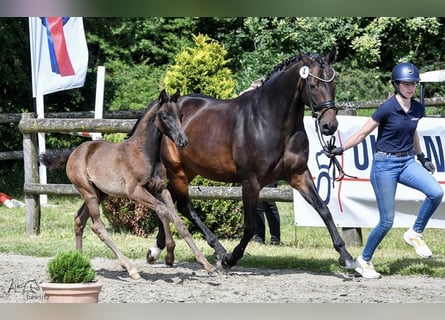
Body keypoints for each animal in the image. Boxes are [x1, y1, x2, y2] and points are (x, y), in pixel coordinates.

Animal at [40, 89, 217, 278]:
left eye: (181, 115)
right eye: (164, 115)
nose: (182, 141)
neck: (144, 153)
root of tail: (75, 152)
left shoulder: (160, 189)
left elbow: (178, 222)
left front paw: (207, 266)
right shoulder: (135, 191)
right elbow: (162, 210)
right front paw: (165, 254)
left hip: (100, 193)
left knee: (79, 219)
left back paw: (79, 260)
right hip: (88, 191)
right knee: (97, 226)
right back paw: (130, 268)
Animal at [151, 52, 356, 270]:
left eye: (334, 82)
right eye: (313, 85)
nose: (329, 126)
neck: (270, 120)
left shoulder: (299, 175)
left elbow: (324, 210)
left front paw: (347, 257)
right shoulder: (251, 182)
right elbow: (249, 226)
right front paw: (230, 259)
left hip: (189, 170)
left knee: (169, 200)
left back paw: (159, 247)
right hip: (176, 169)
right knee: (182, 205)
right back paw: (216, 250)